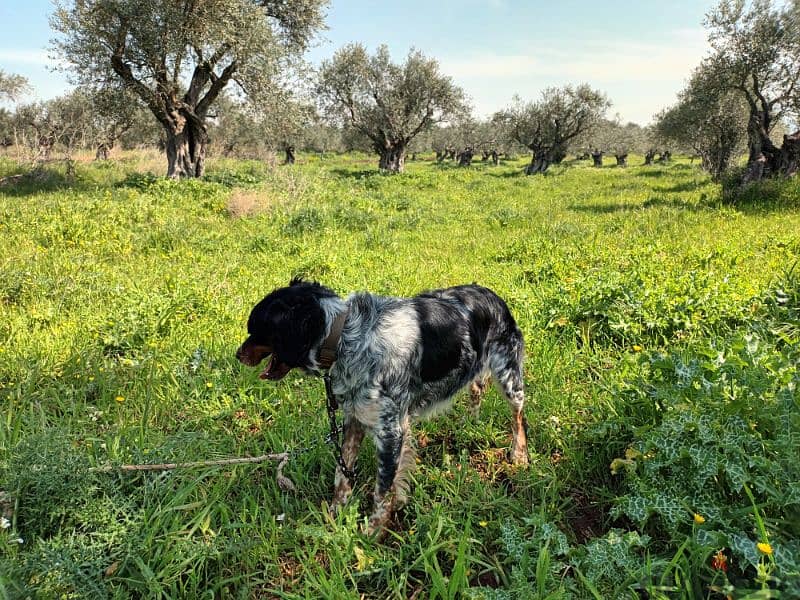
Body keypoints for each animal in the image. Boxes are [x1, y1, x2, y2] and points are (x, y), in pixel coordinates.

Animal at [234, 278, 528, 536]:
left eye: (255, 329)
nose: (238, 355)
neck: (346, 338)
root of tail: (491, 294)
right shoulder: (354, 418)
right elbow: (343, 474)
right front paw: (335, 514)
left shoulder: (391, 431)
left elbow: (383, 489)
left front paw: (373, 532)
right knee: (477, 389)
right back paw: (470, 423)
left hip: (509, 377)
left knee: (518, 416)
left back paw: (520, 455)